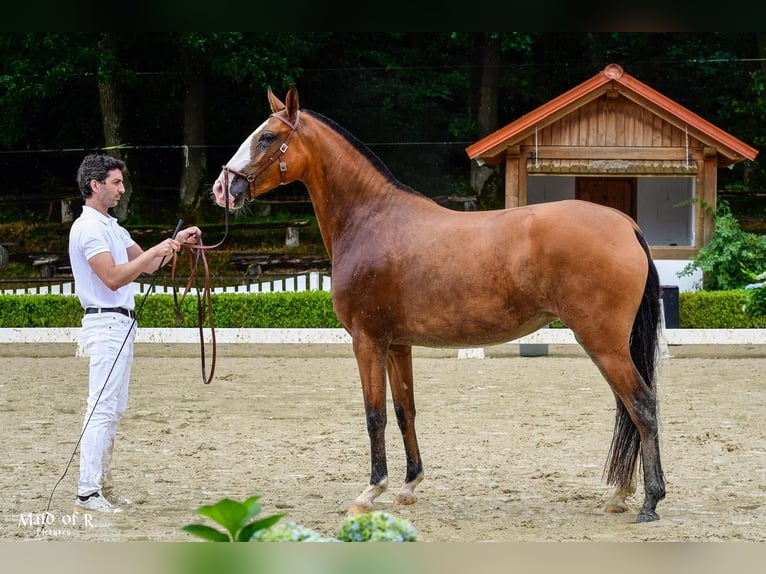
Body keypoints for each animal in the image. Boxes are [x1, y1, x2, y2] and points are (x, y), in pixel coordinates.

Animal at [214, 86, 664, 528]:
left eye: (267, 137)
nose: (222, 188)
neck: (371, 221)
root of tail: (626, 225)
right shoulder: (397, 345)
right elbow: (404, 410)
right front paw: (409, 486)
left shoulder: (367, 341)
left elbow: (374, 414)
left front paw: (370, 492)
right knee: (629, 409)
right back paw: (620, 495)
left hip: (603, 342)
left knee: (641, 406)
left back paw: (649, 502)